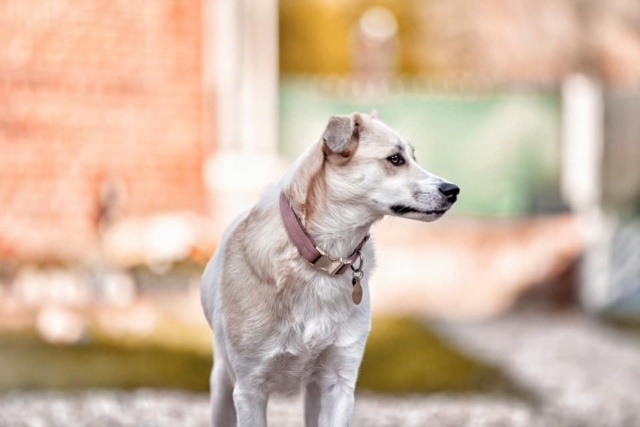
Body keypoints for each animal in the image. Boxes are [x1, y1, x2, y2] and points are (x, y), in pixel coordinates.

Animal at [202, 112, 458, 426]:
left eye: (412, 157)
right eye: (396, 159)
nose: (453, 191)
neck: (323, 257)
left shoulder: (338, 382)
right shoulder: (250, 389)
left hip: (314, 391)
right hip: (222, 383)